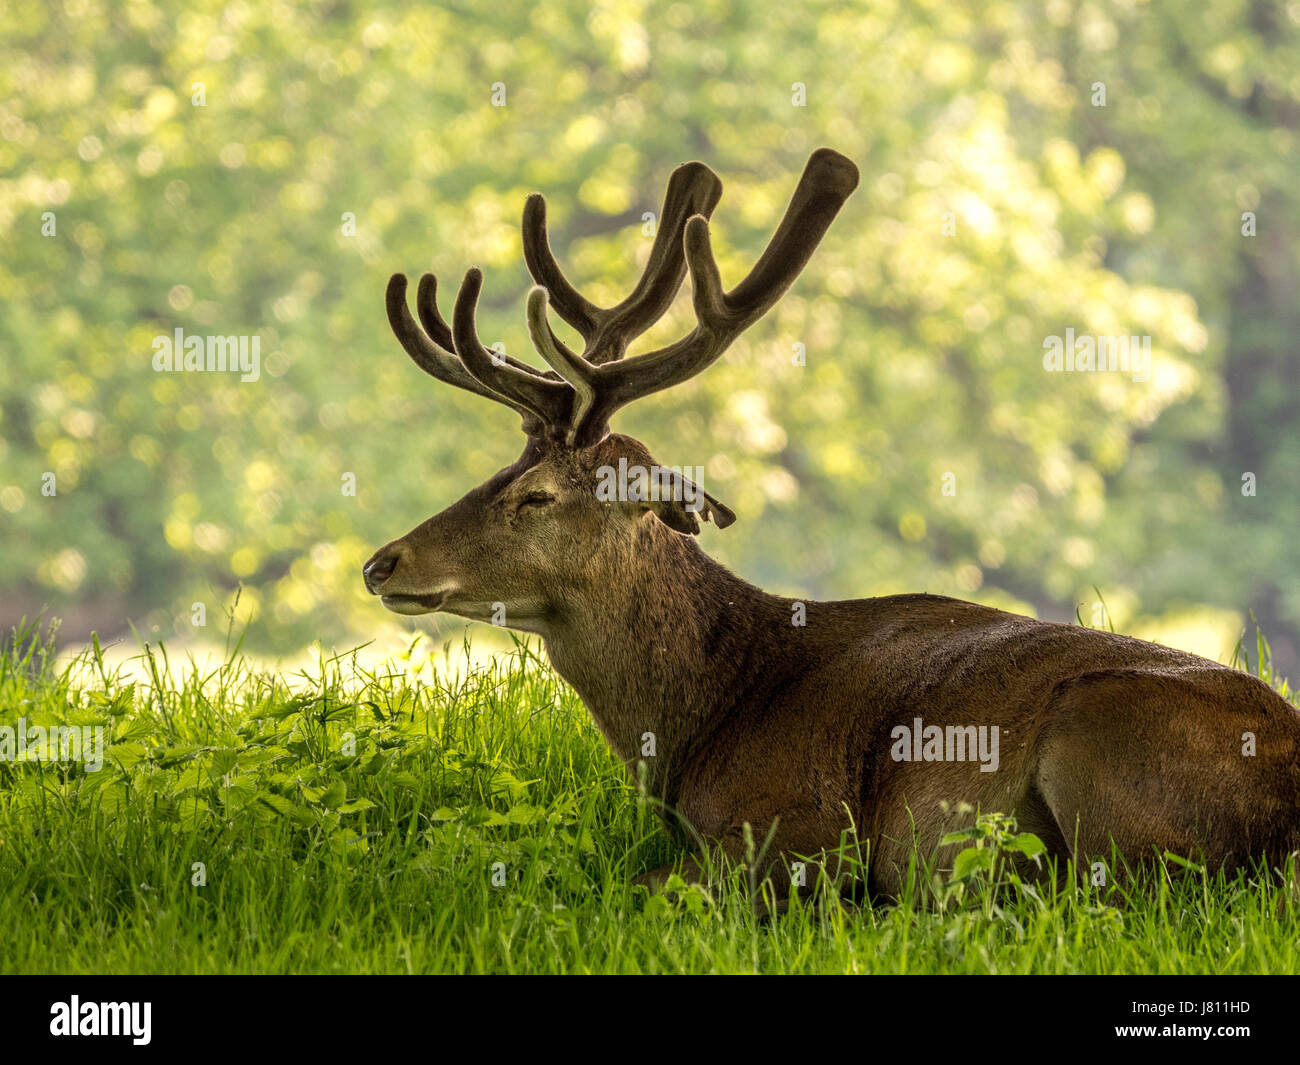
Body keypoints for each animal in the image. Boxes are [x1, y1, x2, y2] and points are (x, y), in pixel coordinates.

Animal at [364, 150, 1300, 899]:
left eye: (538, 496)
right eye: (501, 469)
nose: (382, 562)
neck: (703, 719)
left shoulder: (803, 826)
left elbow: (628, 885)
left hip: (1098, 743)